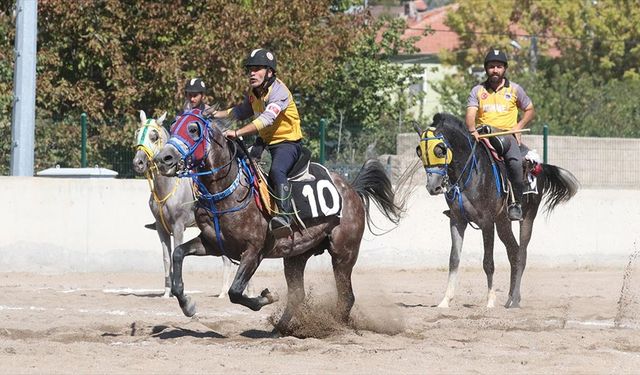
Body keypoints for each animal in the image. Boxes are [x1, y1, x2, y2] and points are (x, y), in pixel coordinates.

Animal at [132, 111, 252, 300]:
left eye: (154, 136)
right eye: (137, 133)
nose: (138, 162)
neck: (167, 188)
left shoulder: (178, 226)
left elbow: (176, 252)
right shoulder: (161, 228)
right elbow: (166, 258)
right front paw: (167, 292)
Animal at [152, 110, 400, 334]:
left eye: (193, 129)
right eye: (172, 128)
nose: (163, 159)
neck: (227, 192)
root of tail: (352, 189)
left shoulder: (254, 251)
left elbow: (235, 291)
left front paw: (267, 297)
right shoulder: (213, 244)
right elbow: (178, 254)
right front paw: (187, 304)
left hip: (343, 253)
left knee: (346, 296)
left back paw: (336, 327)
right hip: (296, 256)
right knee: (298, 295)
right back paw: (280, 329)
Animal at [416, 113, 580, 310]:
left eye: (440, 150)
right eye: (419, 151)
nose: (433, 187)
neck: (470, 173)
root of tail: (538, 165)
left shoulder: (487, 222)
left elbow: (488, 262)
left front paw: (490, 300)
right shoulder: (457, 220)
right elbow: (454, 259)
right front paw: (445, 300)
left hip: (527, 218)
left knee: (522, 255)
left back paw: (515, 299)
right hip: (503, 223)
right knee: (513, 252)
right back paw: (511, 298)